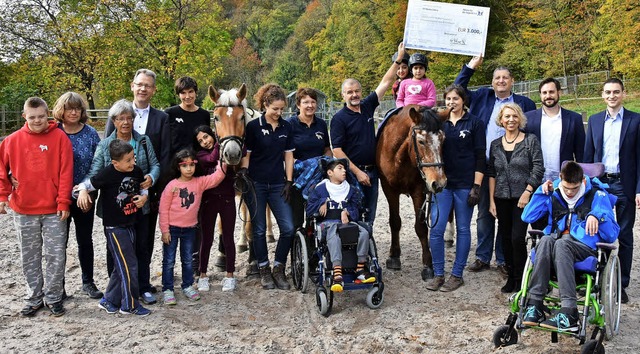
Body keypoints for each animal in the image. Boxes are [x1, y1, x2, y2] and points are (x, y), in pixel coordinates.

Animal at [378, 104, 448, 280]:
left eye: (443, 140)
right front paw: (394, 256)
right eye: (421, 141)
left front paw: (428, 265)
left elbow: (421, 227)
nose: (439, 183)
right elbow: (395, 222)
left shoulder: (419, 191)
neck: (400, 159)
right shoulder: (389, 189)